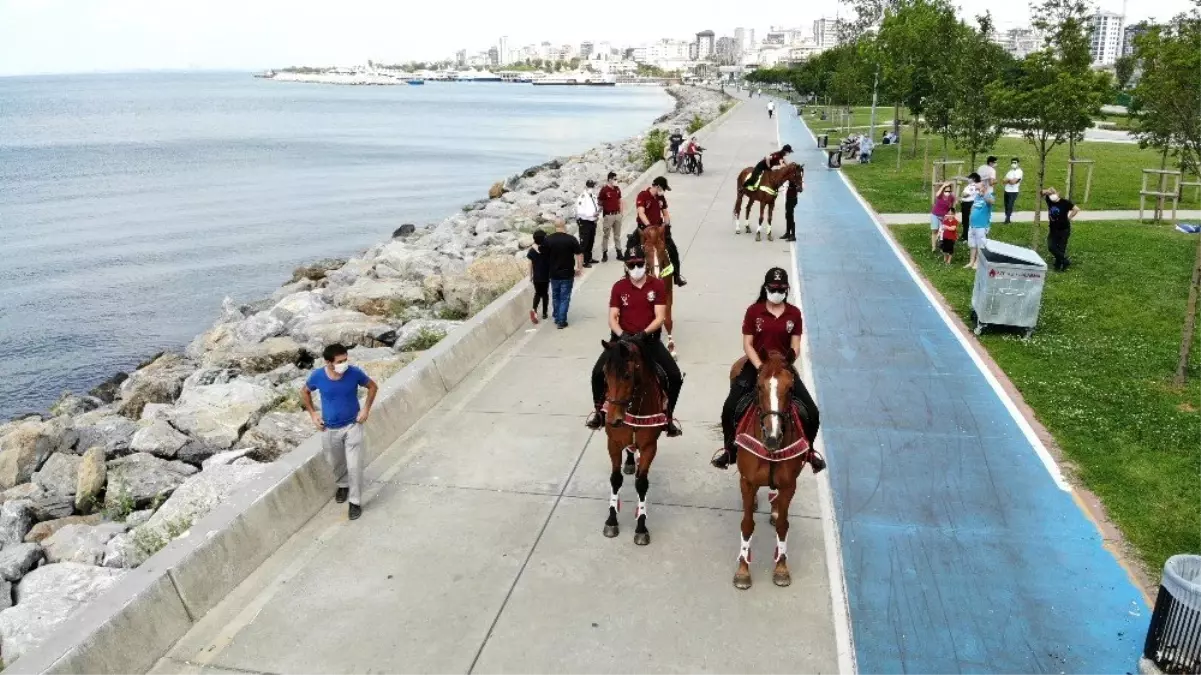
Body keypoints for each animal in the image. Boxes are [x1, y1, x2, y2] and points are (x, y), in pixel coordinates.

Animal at [598, 333, 667, 542]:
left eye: (627, 375)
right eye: (604, 374)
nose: (613, 419)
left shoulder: (649, 446)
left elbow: (642, 483)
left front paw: (641, 527)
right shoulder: (612, 443)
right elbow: (615, 479)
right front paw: (611, 521)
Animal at [638, 222, 677, 357]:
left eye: (662, 249)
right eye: (646, 251)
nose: (656, 275)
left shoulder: (668, 294)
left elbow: (668, 320)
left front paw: (671, 348)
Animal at [725, 348, 821, 586]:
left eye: (790, 388)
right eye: (759, 387)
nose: (772, 436)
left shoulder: (789, 484)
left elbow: (783, 525)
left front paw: (781, 569)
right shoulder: (747, 482)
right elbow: (747, 524)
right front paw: (743, 571)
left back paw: (775, 508)